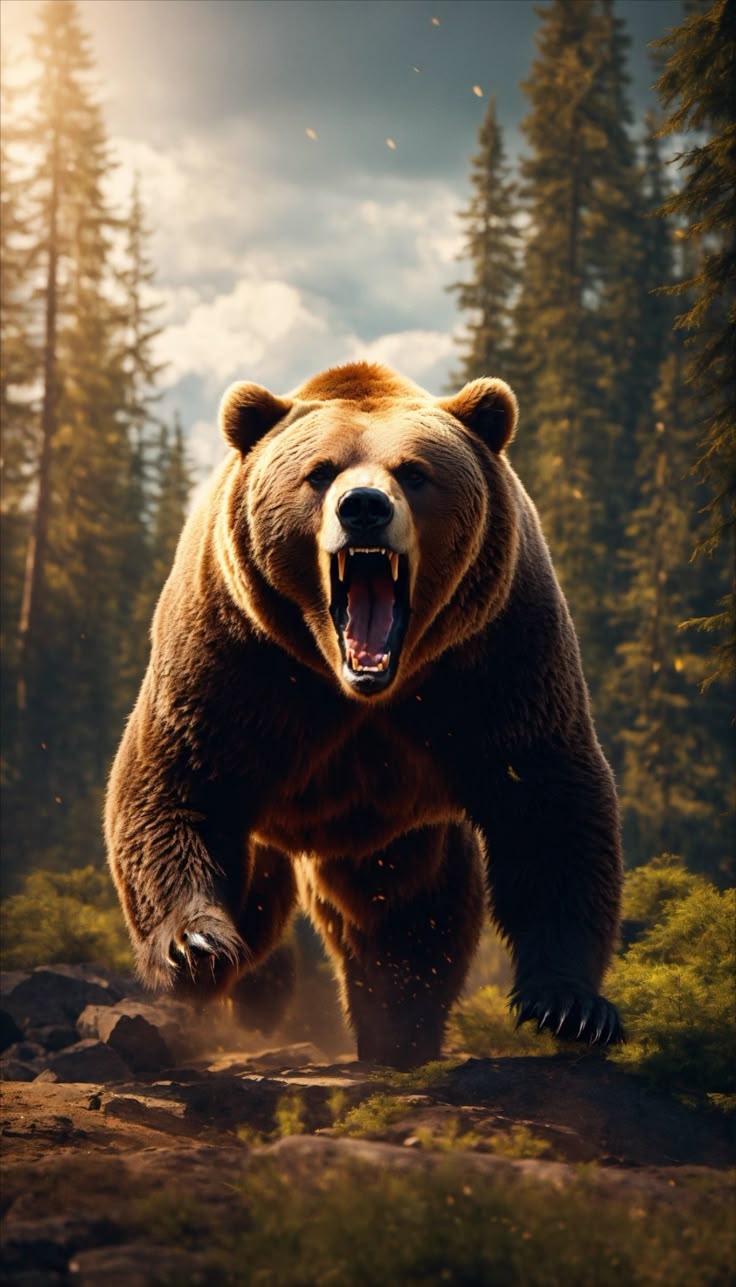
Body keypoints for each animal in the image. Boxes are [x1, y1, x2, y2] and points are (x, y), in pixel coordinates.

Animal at [105, 361, 623, 1068]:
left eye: (414, 471)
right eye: (320, 472)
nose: (365, 508)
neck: (358, 687)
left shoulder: (496, 654)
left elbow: (546, 800)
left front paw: (569, 1005)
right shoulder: (236, 656)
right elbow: (180, 783)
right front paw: (198, 945)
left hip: (398, 834)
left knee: (409, 915)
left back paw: (398, 1029)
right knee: (265, 905)